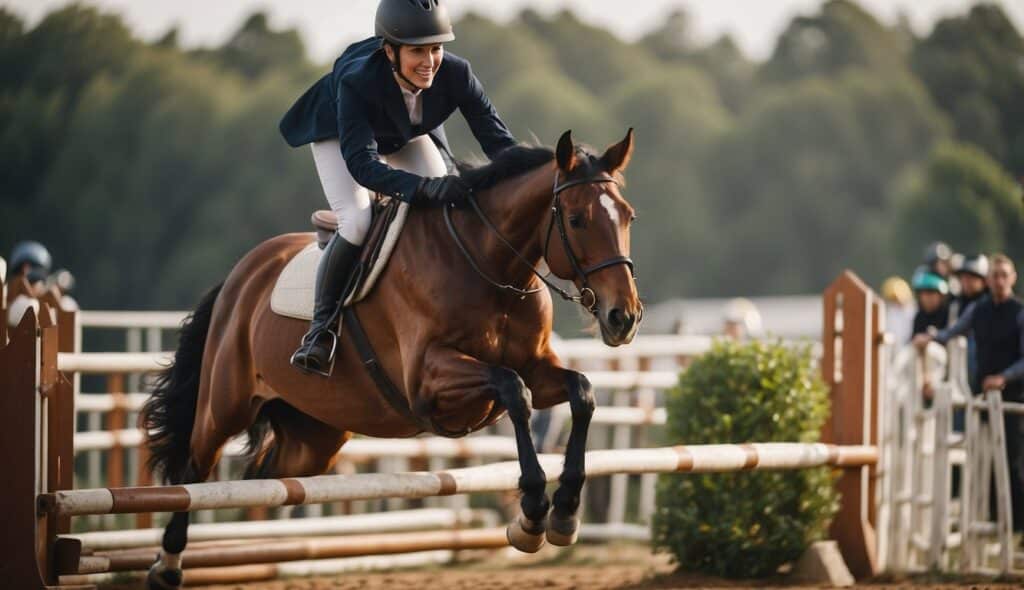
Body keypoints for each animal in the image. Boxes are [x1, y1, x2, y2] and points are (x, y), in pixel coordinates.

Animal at [141, 129, 643, 590]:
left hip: (314, 440)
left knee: (265, 475)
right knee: (193, 473)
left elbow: (581, 392)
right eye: (576, 219)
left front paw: (565, 514)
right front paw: (533, 515)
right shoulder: (429, 380)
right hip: (224, 406)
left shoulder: (538, 368)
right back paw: (167, 566)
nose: (624, 317)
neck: (491, 268)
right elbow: (512, 390)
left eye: (628, 216)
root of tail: (241, 273)